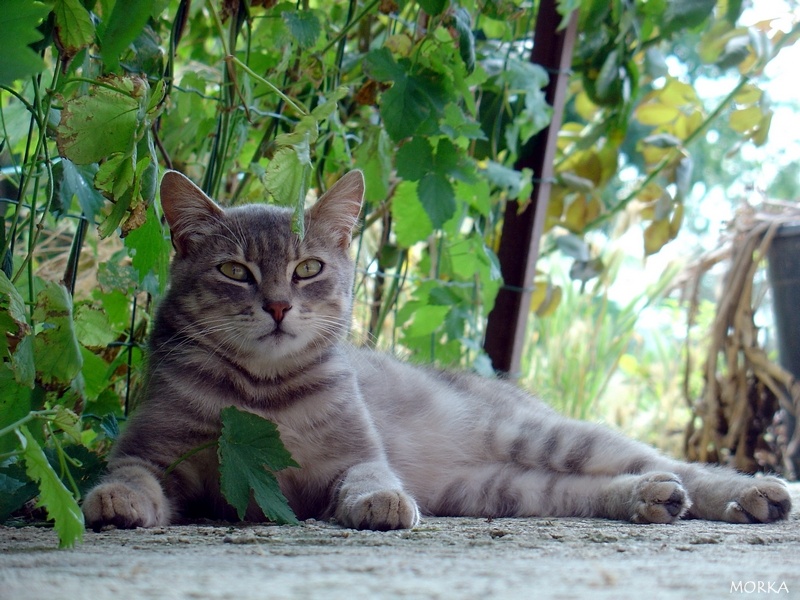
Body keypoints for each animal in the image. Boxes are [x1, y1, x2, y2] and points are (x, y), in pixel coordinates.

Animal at [81, 169, 788, 528]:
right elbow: (132, 474)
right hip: (501, 488)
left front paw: (381, 502)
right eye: (235, 271)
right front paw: (117, 502)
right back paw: (651, 498)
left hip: (546, 436)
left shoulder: (355, 455)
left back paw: (750, 493)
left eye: (308, 269)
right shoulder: (155, 451)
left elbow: (368, 476)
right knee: (598, 488)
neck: (261, 394)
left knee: (673, 462)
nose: (279, 306)